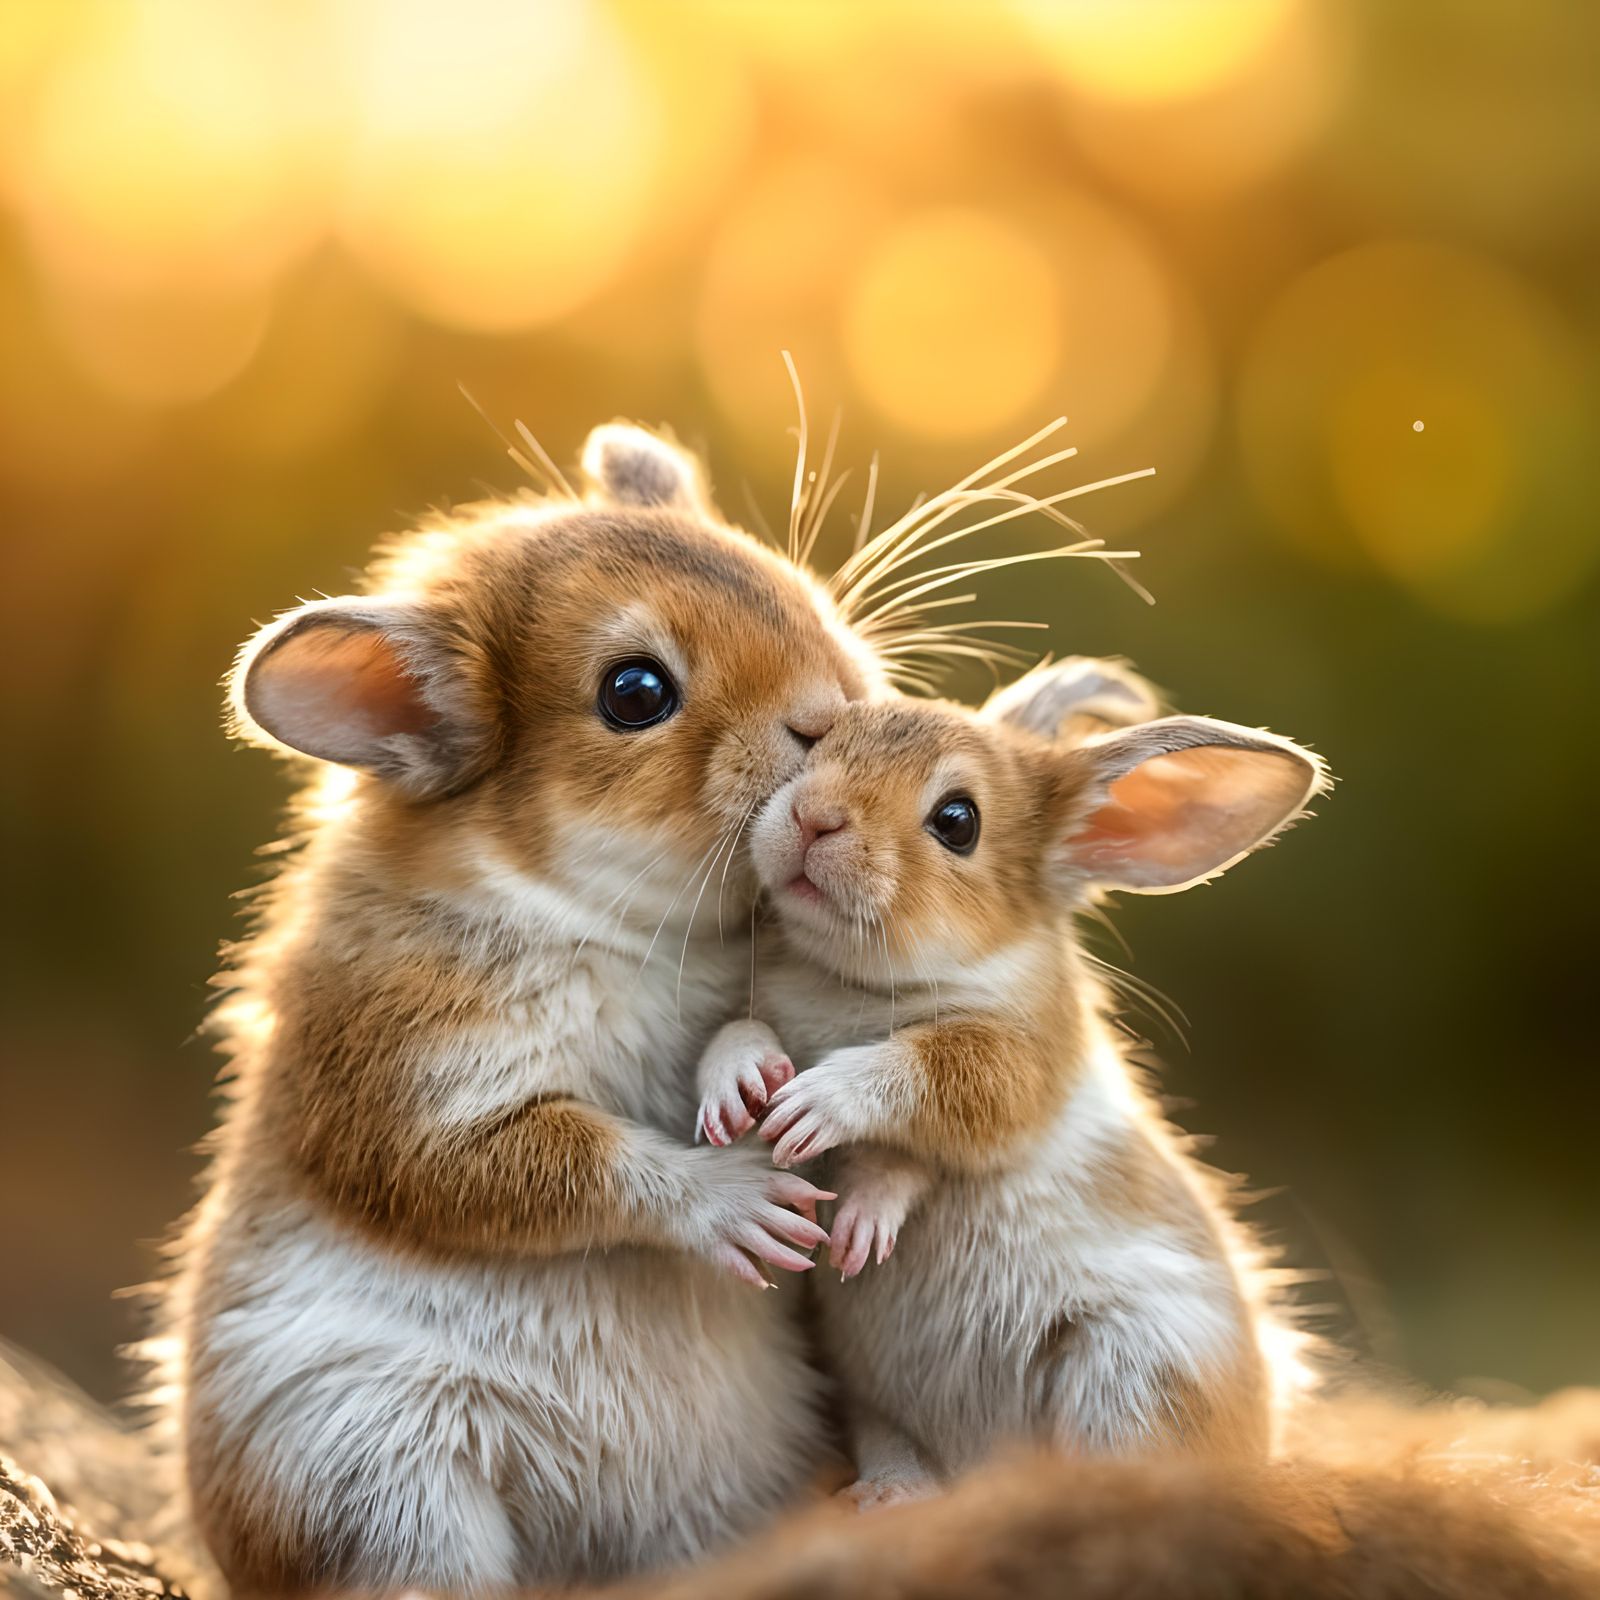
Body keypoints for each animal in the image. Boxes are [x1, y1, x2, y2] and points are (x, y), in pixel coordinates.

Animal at [155, 423, 888, 1594]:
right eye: (634, 691)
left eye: (781, 577)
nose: (835, 717)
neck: (622, 926)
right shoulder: (401, 1071)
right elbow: (548, 1166)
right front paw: (733, 1200)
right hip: (363, 1467)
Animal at [694, 658, 1328, 1506]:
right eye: (822, 741)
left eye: (958, 821)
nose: (814, 817)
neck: (851, 980)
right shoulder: (757, 1006)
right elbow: (736, 1036)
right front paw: (742, 1093)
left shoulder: (1011, 1071)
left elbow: (912, 1098)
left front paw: (829, 1147)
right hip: (879, 1408)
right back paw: (889, 1495)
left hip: (1130, 1370)